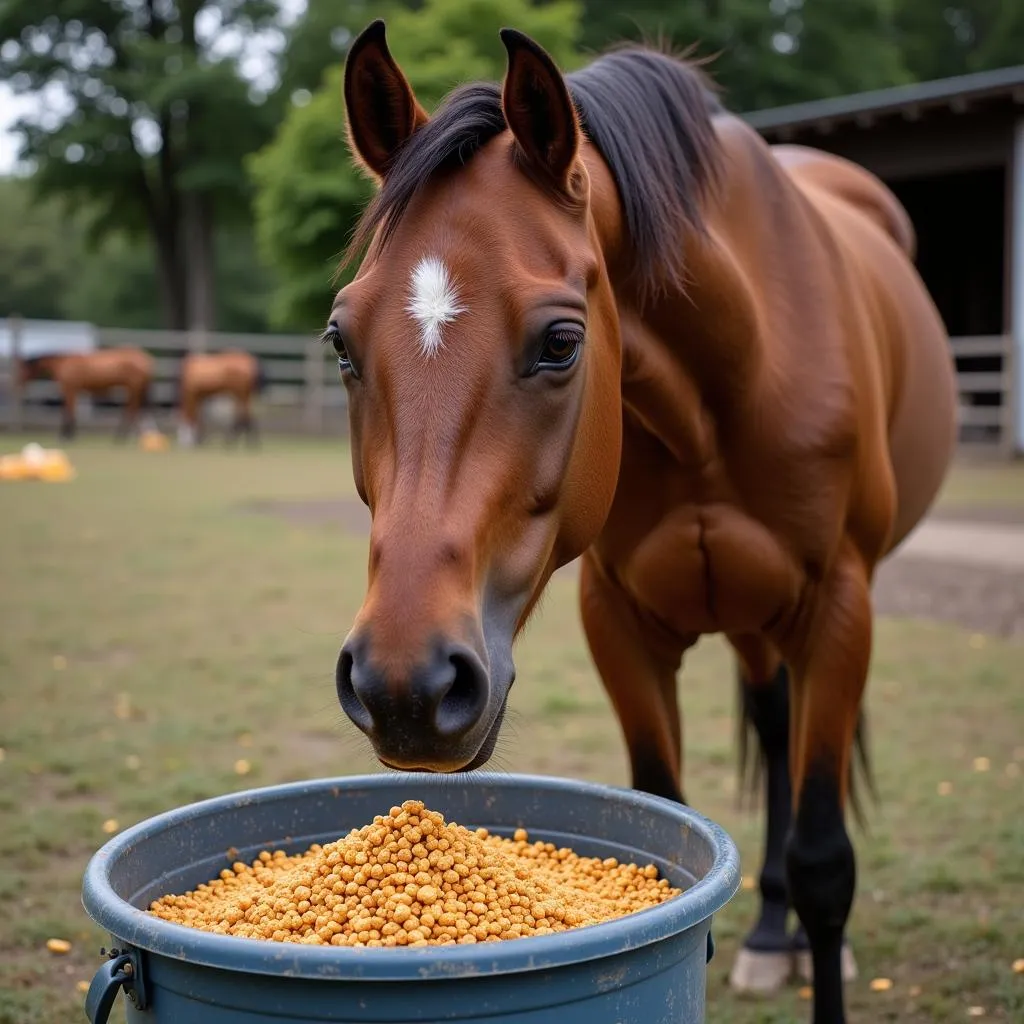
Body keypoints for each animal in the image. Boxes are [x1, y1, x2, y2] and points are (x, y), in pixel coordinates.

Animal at [15, 348, 153, 440]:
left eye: (22, 370)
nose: (17, 385)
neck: (62, 362)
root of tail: (145, 359)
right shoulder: (73, 390)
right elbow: (70, 410)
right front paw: (70, 434)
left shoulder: (70, 389)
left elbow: (67, 410)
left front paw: (66, 435)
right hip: (133, 388)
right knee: (134, 409)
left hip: (133, 387)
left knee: (131, 409)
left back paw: (122, 436)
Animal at [329, 19, 958, 1019]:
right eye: (343, 342)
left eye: (561, 342)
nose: (406, 688)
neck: (729, 373)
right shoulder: (619, 622)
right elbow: (664, 811)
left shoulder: (837, 609)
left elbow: (825, 865)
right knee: (769, 717)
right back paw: (769, 933)